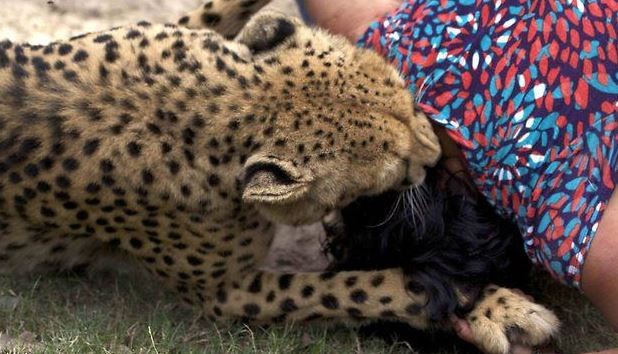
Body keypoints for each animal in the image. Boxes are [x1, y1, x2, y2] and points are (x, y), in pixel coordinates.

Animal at [0, 2, 560, 352]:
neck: (226, 105)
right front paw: (490, 304)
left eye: (408, 100)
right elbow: (363, 286)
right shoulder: (225, 295)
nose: (435, 156)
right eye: (395, 172)